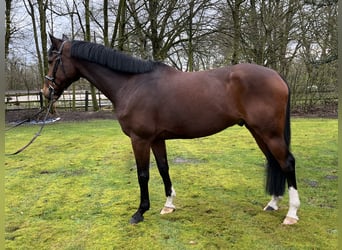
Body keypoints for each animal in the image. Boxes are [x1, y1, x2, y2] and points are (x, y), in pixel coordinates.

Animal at [42, 34, 300, 225]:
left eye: (51, 61)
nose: (46, 92)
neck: (131, 84)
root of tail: (277, 75)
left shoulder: (140, 139)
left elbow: (143, 174)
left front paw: (140, 212)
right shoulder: (157, 139)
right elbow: (163, 168)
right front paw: (168, 205)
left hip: (270, 133)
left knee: (287, 163)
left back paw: (291, 214)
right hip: (259, 133)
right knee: (275, 162)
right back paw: (273, 204)